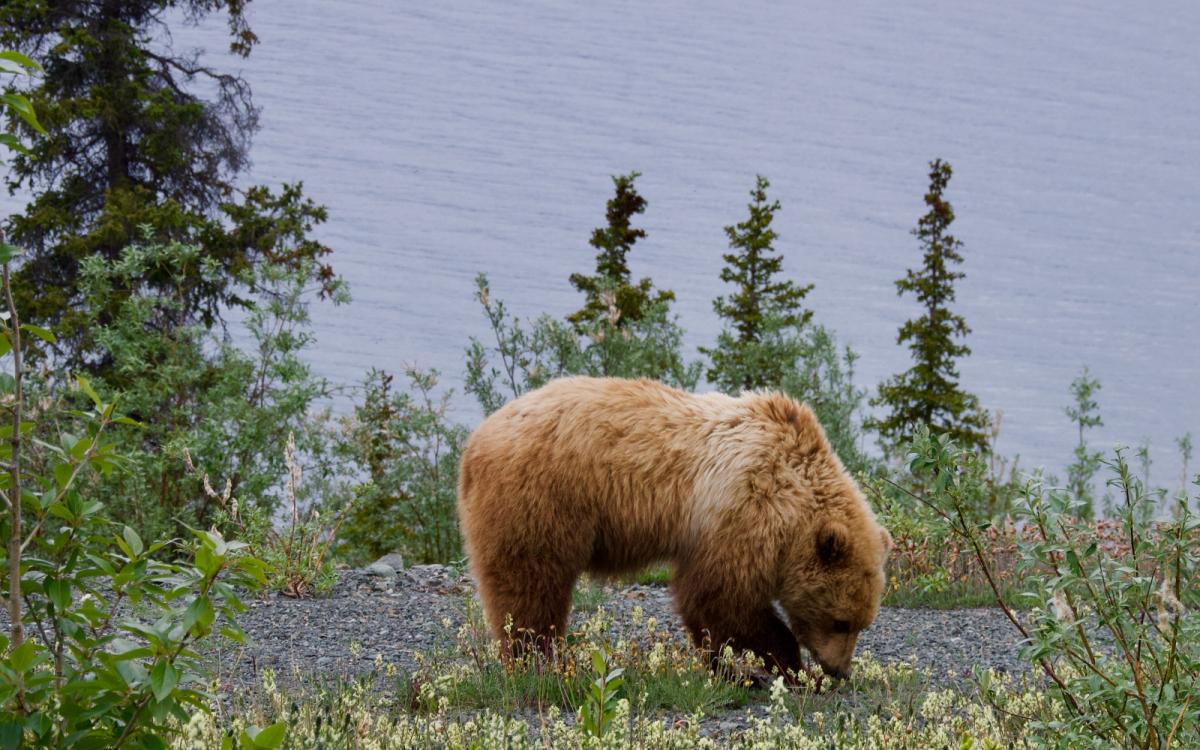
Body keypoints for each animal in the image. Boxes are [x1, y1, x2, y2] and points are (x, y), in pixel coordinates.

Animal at [456, 376, 891, 679]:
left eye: (862, 623)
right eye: (841, 621)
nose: (840, 670)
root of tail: (475, 442)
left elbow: (709, 609)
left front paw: (731, 668)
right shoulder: (743, 508)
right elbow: (719, 598)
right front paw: (785, 667)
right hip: (541, 501)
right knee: (530, 587)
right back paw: (535, 661)